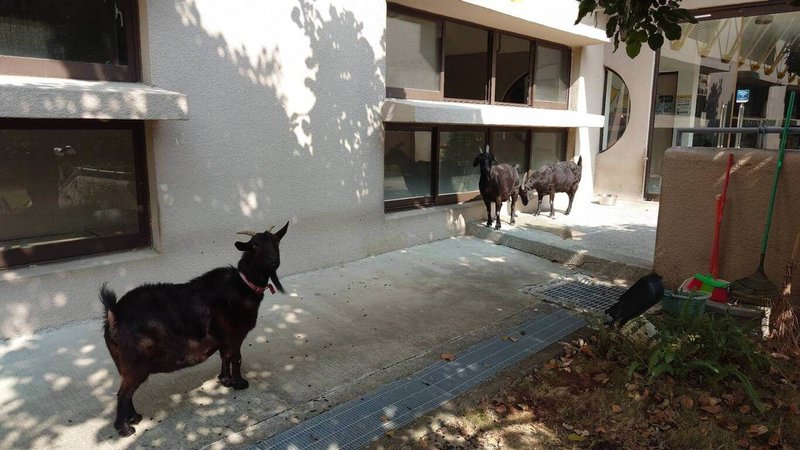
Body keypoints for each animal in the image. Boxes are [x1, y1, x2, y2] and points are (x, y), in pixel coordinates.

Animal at [98, 221, 288, 436]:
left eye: (277, 242)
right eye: (254, 245)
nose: (273, 262)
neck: (243, 285)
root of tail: (114, 313)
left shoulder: (223, 338)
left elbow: (225, 357)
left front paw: (225, 380)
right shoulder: (235, 335)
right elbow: (236, 358)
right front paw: (240, 383)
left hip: (125, 364)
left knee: (127, 391)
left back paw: (134, 418)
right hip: (136, 361)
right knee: (123, 393)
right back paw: (125, 429)